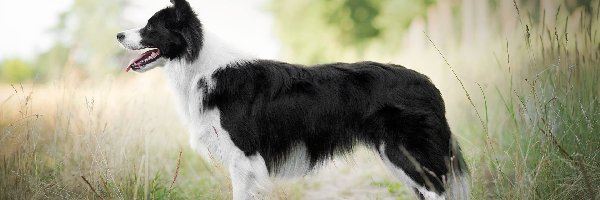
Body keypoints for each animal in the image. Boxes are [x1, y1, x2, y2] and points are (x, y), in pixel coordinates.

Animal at [117, 0, 468, 199]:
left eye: (150, 28)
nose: (118, 35)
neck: (201, 66)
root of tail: (429, 84)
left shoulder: (243, 157)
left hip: (409, 154)